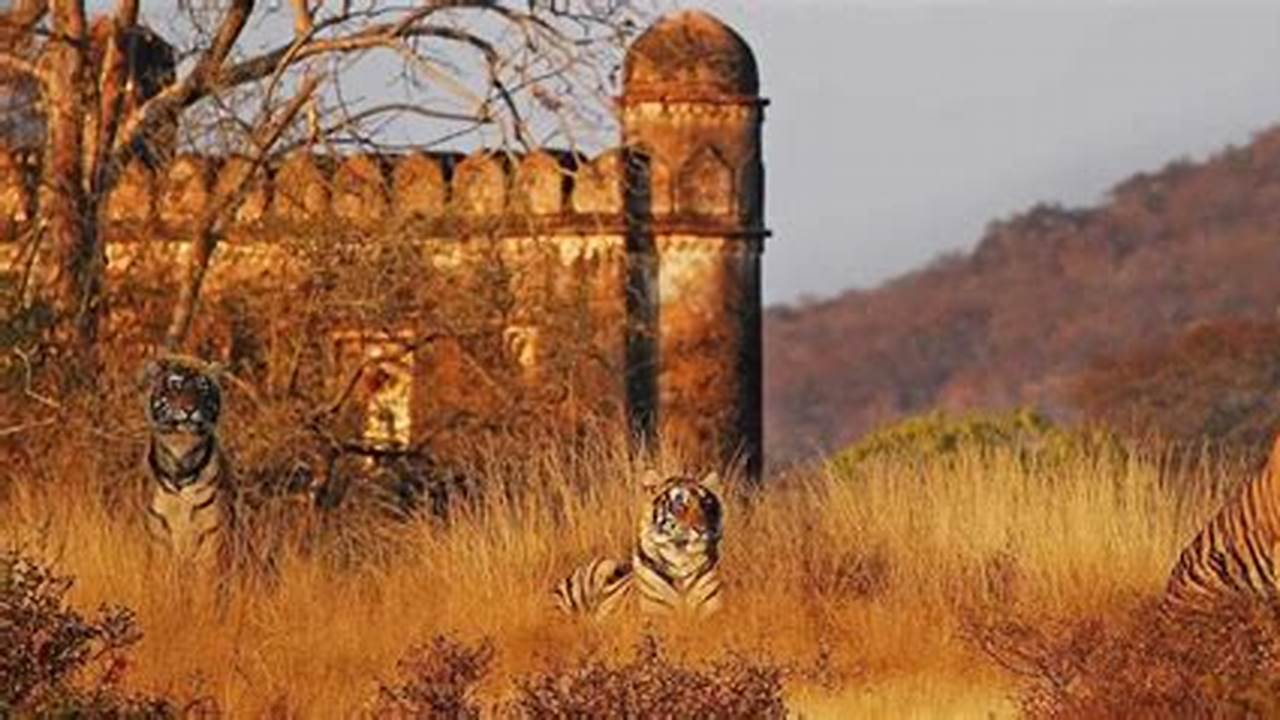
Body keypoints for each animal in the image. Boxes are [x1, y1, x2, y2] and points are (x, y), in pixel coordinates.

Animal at [141, 356, 236, 577]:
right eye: (176, 386)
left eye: (202, 388)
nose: (190, 409)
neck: (181, 450)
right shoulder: (159, 528)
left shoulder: (212, 529)